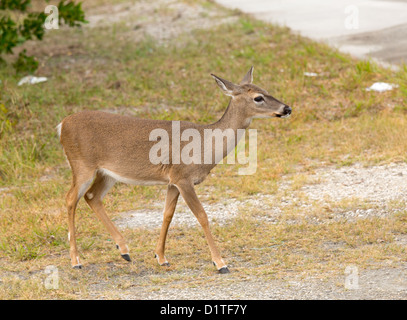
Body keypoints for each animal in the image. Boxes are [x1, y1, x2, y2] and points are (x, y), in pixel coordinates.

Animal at [57, 67, 292, 272]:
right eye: (258, 98)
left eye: (266, 90)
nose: (287, 108)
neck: (205, 145)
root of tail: (61, 125)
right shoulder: (183, 177)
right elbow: (202, 215)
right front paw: (220, 263)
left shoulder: (172, 180)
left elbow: (167, 214)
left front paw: (161, 257)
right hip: (82, 165)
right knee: (70, 198)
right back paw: (76, 260)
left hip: (107, 173)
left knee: (92, 196)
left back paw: (124, 250)